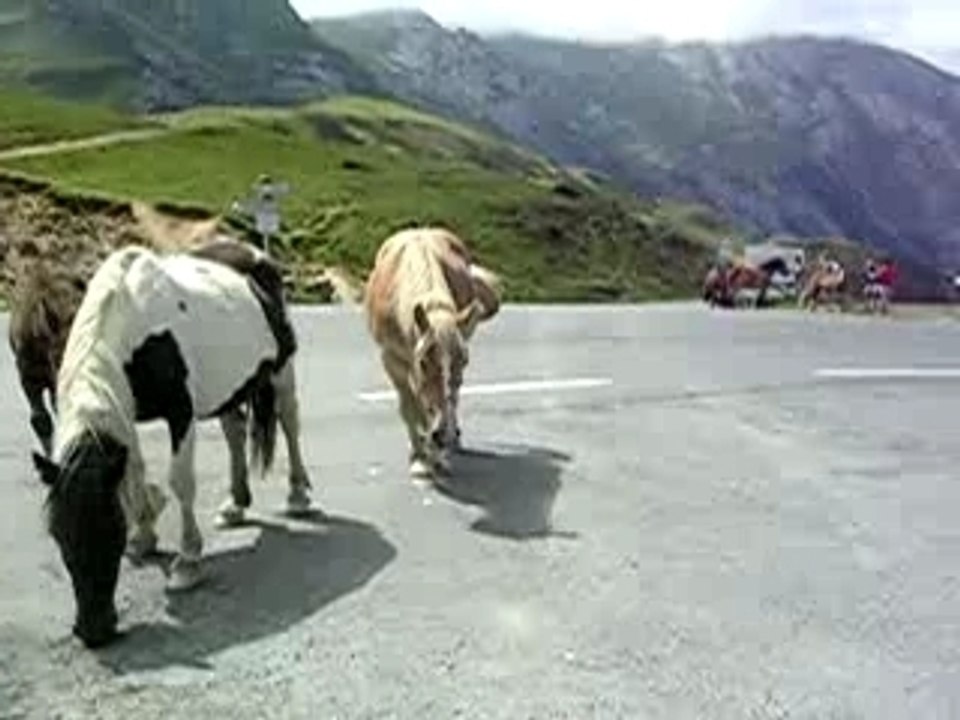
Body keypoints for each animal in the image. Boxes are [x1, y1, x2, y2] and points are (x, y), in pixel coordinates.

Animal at [31, 242, 313, 648]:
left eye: (111, 531)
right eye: (57, 534)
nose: (93, 631)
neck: (135, 322)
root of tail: (255, 253)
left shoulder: (181, 412)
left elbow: (180, 482)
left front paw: (187, 562)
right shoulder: (124, 410)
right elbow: (134, 473)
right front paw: (144, 535)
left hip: (281, 369)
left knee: (290, 422)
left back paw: (298, 495)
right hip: (228, 391)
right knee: (234, 432)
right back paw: (235, 504)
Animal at [364, 227, 501, 480]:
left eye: (464, 361)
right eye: (423, 361)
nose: (443, 434)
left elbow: (443, 401)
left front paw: (438, 456)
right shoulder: (392, 360)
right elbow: (409, 406)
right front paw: (420, 458)